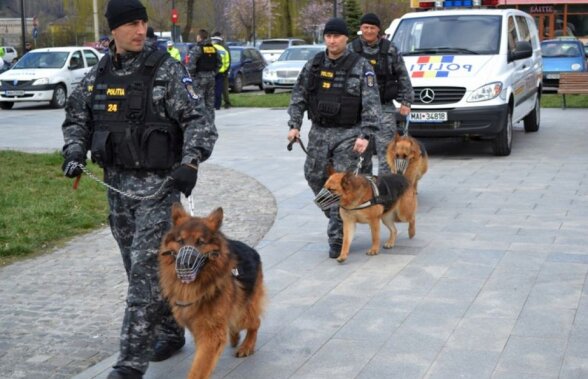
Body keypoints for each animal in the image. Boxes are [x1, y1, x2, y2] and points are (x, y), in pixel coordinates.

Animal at [158, 205, 264, 379]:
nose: (184, 264)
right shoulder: (197, 325)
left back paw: (247, 346)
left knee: (255, 322)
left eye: (200, 242)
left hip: (241, 312)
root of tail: (252, 250)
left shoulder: (211, 332)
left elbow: (200, 367)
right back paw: (235, 337)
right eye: (180, 241)